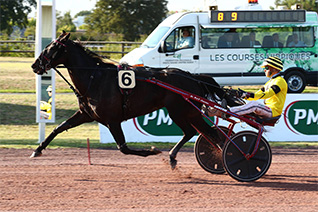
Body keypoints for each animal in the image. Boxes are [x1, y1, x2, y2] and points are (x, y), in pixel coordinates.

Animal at [31, 31, 237, 167]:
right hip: (186, 112)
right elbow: (59, 128)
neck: (95, 78)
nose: (35, 65)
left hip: (181, 111)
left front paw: (152, 151)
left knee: (201, 132)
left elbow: (123, 147)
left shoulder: (112, 120)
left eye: (50, 48)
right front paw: (37, 150)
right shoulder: (85, 114)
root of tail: (192, 77)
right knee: (203, 133)